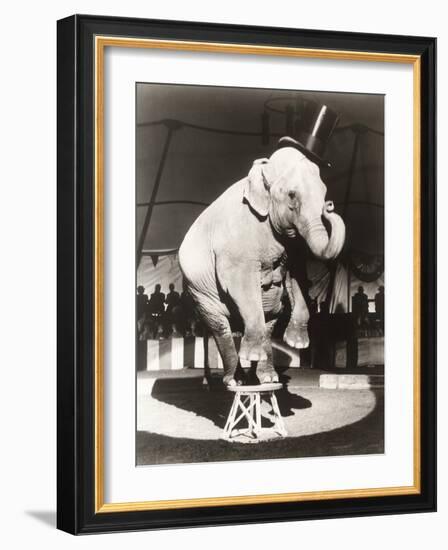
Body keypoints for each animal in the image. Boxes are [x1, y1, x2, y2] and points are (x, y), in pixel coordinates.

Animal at [178, 138, 346, 388]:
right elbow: (241, 283)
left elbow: (297, 275)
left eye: (324, 192)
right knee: (220, 326)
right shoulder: (235, 243)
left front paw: (296, 344)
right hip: (198, 293)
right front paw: (254, 357)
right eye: (292, 195)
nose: (330, 206)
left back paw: (265, 378)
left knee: (270, 317)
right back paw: (235, 381)